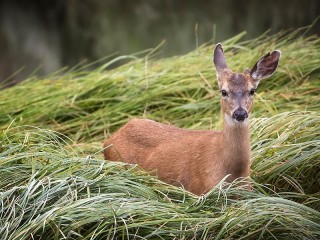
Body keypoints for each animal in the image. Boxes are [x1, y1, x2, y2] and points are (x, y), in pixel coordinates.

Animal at [104, 44, 282, 195]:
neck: (232, 170)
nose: (239, 113)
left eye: (252, 90)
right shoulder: (201, 188)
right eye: (223, 91)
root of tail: (109, 140)